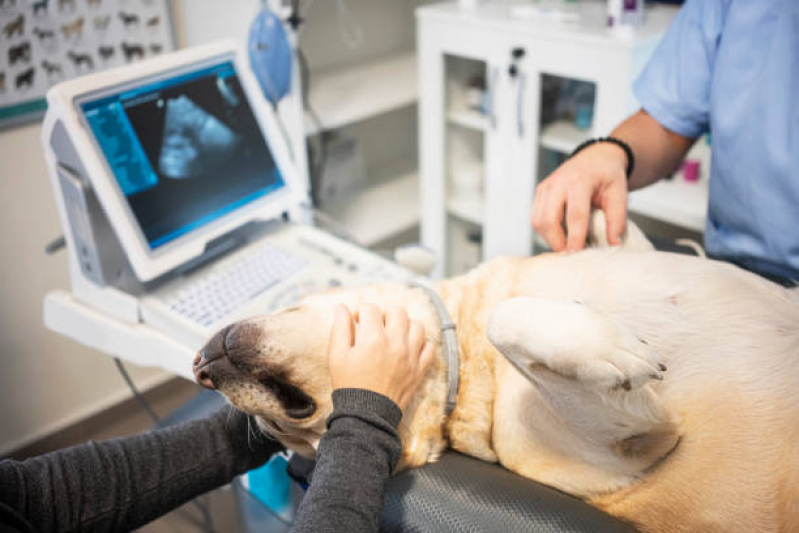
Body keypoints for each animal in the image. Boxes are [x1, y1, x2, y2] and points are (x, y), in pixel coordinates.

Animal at [195, 213, 799, 532]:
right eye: (288, 425)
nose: (200, 369)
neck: (460, 348)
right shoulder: (643, 443)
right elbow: (507, 320)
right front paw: (610, 347)